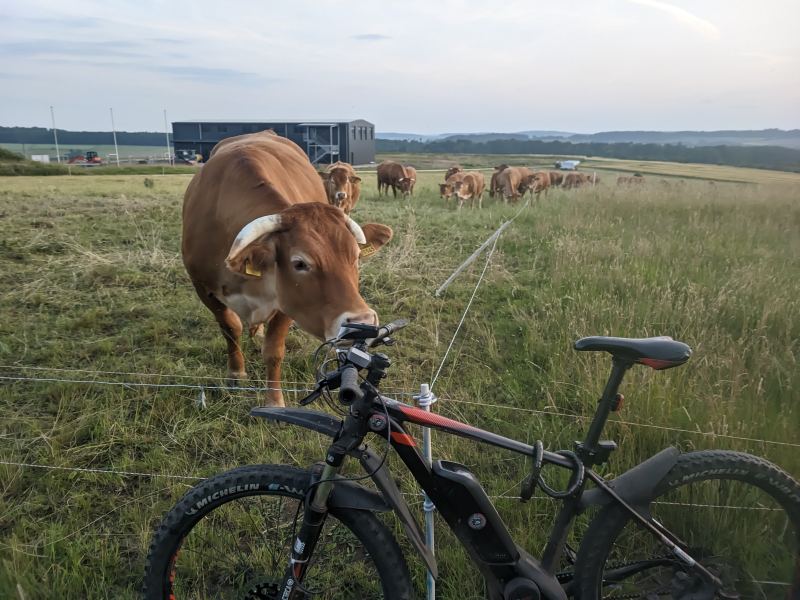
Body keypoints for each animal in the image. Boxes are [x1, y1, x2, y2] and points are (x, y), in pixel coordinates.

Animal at [182, 131, 393, 407]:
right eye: (300, 263)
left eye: (356, 257)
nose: (363, 324)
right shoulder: (202, 287)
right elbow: (230, 328)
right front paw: (236, 374)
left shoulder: (288, 302)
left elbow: (273, 350)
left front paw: (274, 401)